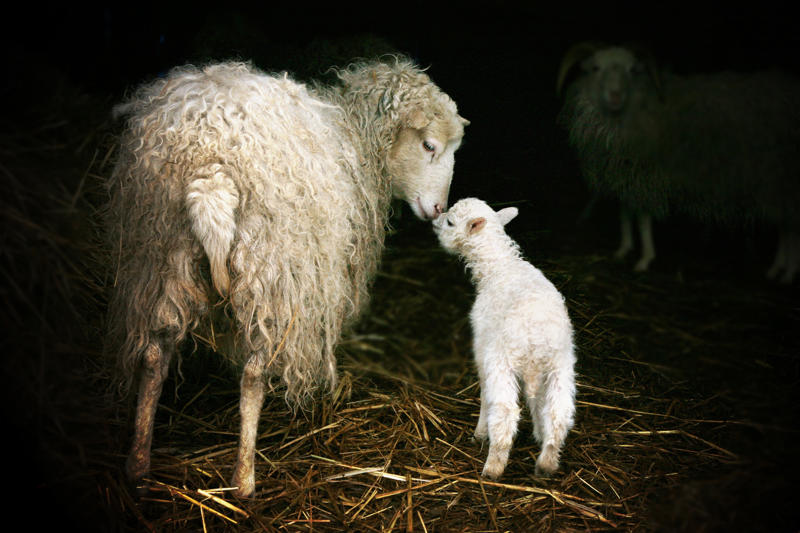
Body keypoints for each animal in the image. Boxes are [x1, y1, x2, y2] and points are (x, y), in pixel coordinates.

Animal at [105, 57, 468, 497]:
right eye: (429, 146)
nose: (439, 211)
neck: (354, 133)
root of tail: (210, 163)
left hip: (158, 255)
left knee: (154, 355)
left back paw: (138, 464)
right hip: (273, 270)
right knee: (254, 373)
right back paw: (244, 480)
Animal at [432, 198, 576, 479]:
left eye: (450, 222)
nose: (435, 219)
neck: (498, 267)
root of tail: (536, 340)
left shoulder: (483, 349)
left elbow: (485, 395)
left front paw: (479, 434)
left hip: (503, 360)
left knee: (505, 411)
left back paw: (493, 466)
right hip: (560, 365)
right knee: (558, 411)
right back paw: (547, 461)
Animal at [556, 42, 800, 282]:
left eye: (632, 70)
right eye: (595, 68)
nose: (615, 95)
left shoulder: (646, 174)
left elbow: (643, 219)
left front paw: (645, 259)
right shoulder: (625, 172)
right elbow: (625, 212)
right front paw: (623, 249)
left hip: (780, 177)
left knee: (790, 225)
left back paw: (788, 273)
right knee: (786, 226)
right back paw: (777, 269)